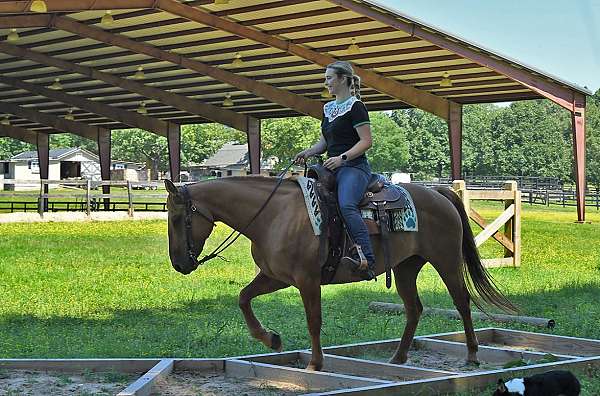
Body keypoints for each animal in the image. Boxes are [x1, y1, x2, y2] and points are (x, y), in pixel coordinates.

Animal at [164, 176, 516, 372]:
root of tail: (439, 193)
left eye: (178, 217)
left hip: (446, 261)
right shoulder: (274, 276)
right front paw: (271, 339)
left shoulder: (307, 280)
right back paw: (398, 357)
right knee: (414, 309)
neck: (273, 215)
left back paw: (472, 355)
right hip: (405, 268)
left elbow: (313, 321)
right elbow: (243, 298)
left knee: (462, 303)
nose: (179, 264)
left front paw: (315, 363)